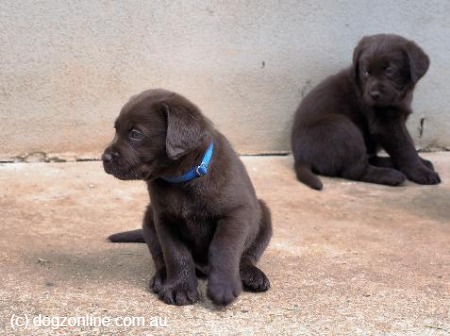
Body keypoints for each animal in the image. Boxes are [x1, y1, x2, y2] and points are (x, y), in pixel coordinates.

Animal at [102, 88, 270, 304]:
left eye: (135, 134)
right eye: (116, 130)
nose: (104, 158)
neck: (183, 179)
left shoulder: (235, 215)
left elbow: (223, 249)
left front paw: (223, 287)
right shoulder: (164, 219)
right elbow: (175, 254)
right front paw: (179, 288)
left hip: (264, 215)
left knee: (248, 255)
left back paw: (251, 274)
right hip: (148, 219)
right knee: (159, 257)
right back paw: (162, 278)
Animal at [290, 34, 442, 192]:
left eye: (389, 70)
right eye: (366, 72)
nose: (373, 94)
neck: (399, 96)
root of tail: (300, 159)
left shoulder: (397, 121)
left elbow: (408, 142)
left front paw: (422, 162)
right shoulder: (386, 126)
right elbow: (405, 148)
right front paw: (421, 172)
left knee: (368, 158)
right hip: (341, 127)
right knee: (355, 170)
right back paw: (390, 175)